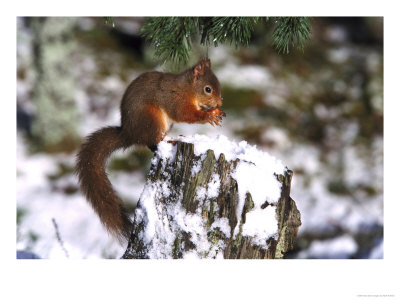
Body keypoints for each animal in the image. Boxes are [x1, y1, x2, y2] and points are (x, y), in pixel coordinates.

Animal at [75, 59, 225, 244]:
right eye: (208, 89)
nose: (219, 103)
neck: (187, 88)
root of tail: (129, 134)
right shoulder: (174, 99)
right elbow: (184, 114)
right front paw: (209, 115)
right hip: (152, 119)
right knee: (153, 142)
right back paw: (169, 141)